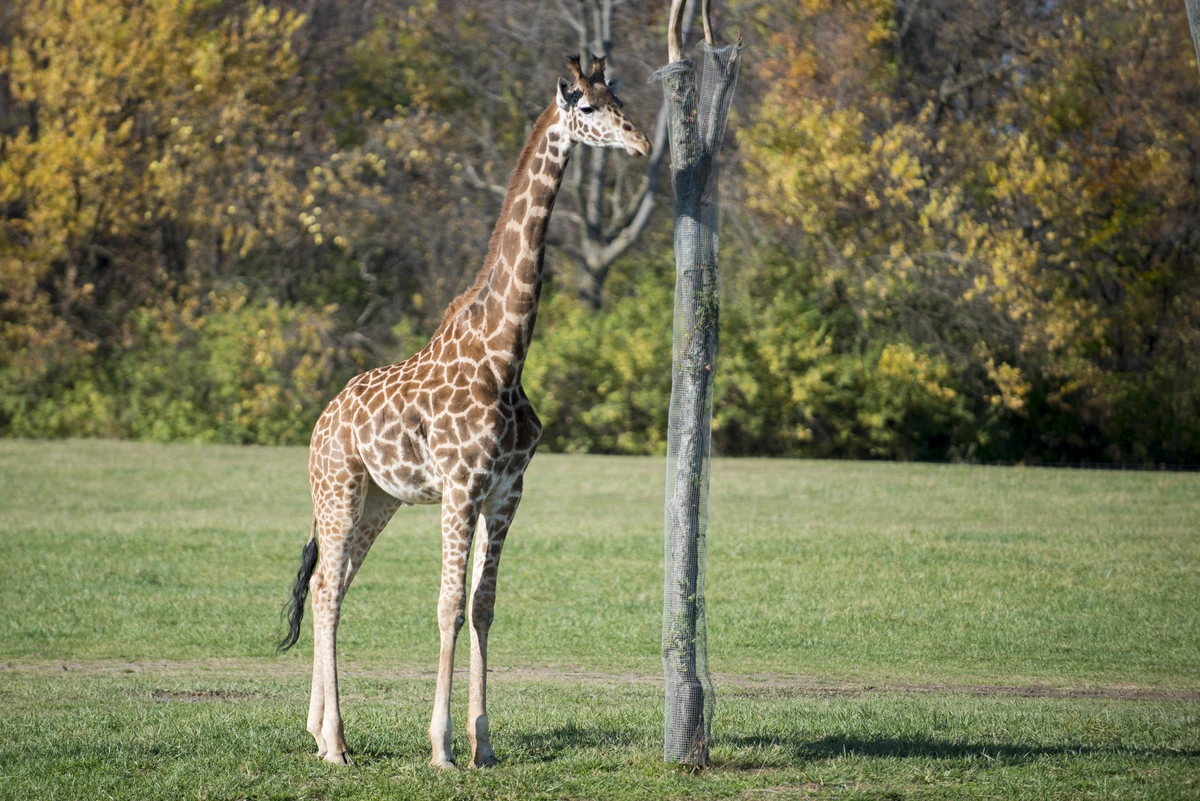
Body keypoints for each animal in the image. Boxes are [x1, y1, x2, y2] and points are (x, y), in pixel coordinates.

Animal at [277, 55, 651, 769]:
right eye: (588, 108)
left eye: (623, 99)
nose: (643, 143)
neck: (506, 356)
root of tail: (320, 422)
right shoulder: (460, 486)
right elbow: (448, 605)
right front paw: (442, 746)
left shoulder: (506, 490)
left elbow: (483, 606)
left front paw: (484, 743)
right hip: (339, 488)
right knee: (329, 590)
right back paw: (336, 744)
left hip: (379, 500)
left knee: (331, 585)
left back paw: (317, 730)